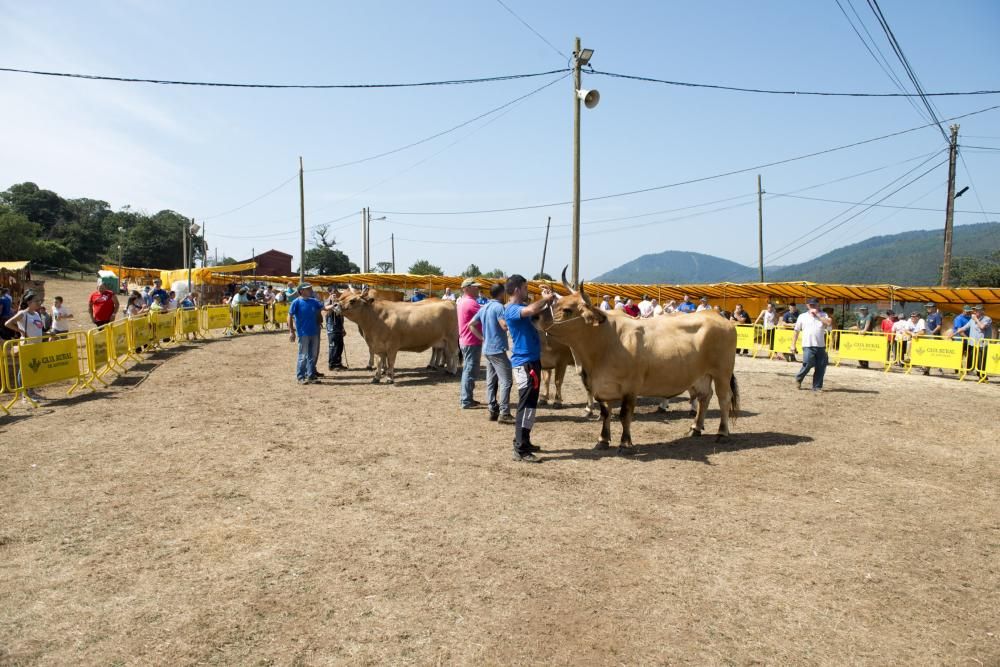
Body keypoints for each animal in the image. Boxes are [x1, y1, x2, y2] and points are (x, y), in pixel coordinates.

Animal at [544, 272, 740, 454]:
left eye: (567, 310)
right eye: (555, 304)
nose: (542, 320)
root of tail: (715, 314)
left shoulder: (631, 387)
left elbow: (625, 415)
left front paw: (625, 443)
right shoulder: (604, 385)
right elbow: (606, 413)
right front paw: (602, 440)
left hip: (722, 372)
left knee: (724, 399)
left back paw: (722, 433)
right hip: (701, 374)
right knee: (704, 397)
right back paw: (695, 428)